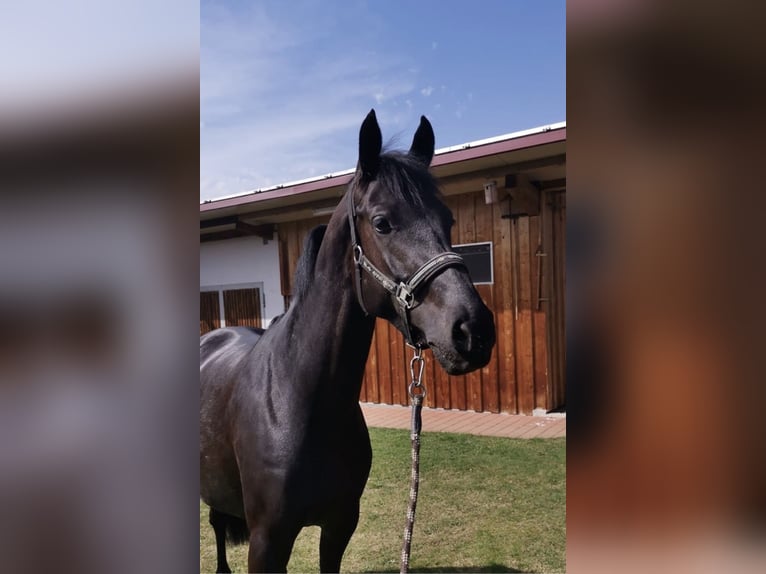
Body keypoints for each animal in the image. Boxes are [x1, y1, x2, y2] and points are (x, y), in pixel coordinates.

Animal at [200, 109, 496, 573]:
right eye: (382, 223)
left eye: (448, 220)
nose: (473, 330)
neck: (301, 400)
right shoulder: (267, 541)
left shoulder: (339, 526)